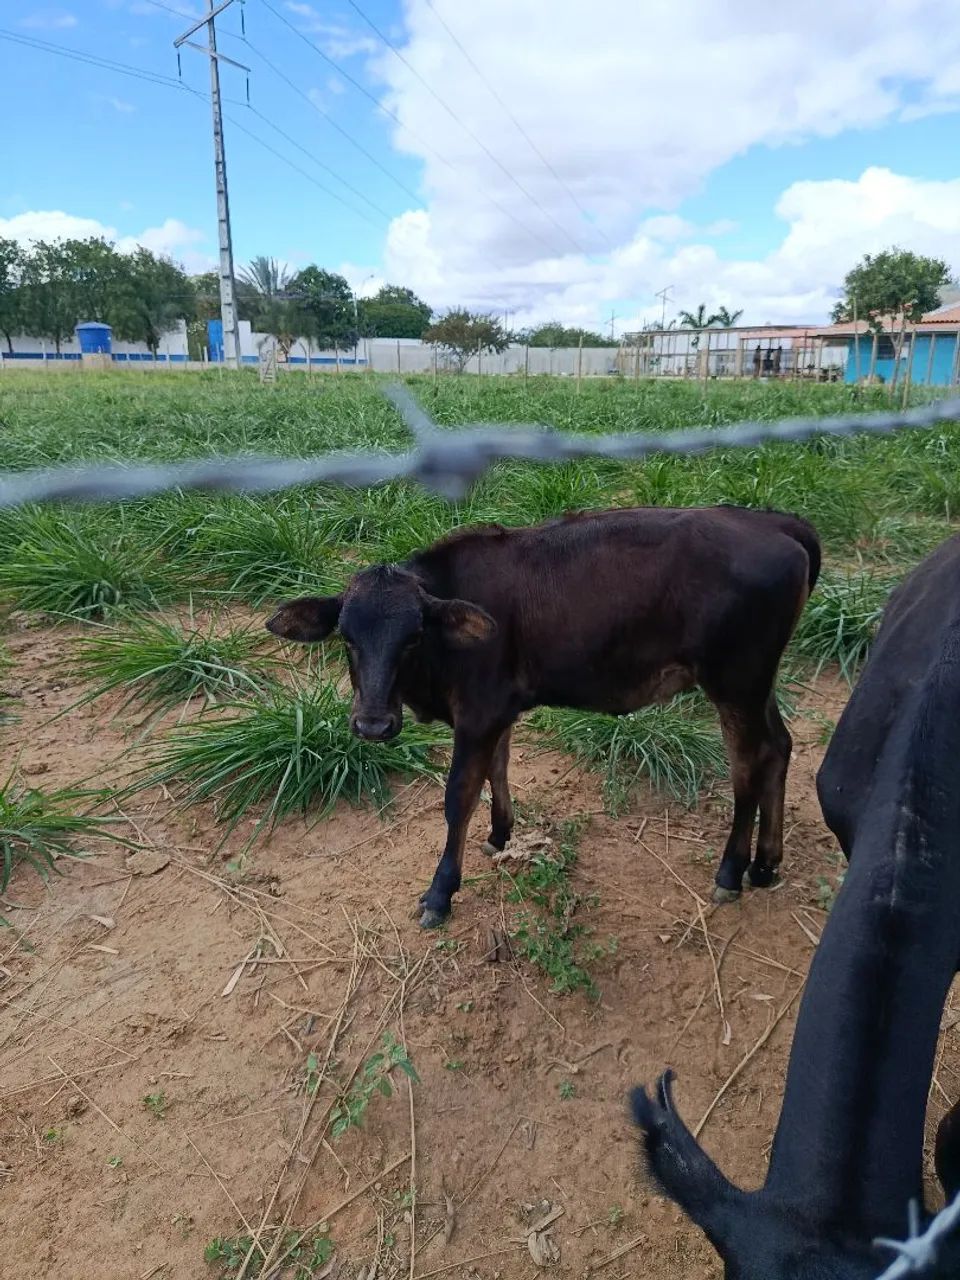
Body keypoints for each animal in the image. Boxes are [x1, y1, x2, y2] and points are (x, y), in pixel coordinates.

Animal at [266, 504, 820, 928]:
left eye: (414, 636)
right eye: (346, 637)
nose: (373, 724)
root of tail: (773, 522)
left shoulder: (478, 714)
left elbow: (458, 798)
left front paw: (441, 893)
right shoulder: (499, 711)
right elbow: (499, 768)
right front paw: (500, 834)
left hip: (735, 685)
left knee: (748, 767)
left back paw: (731, 871)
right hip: (757, 687)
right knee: (779, 747)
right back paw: (766, 864)